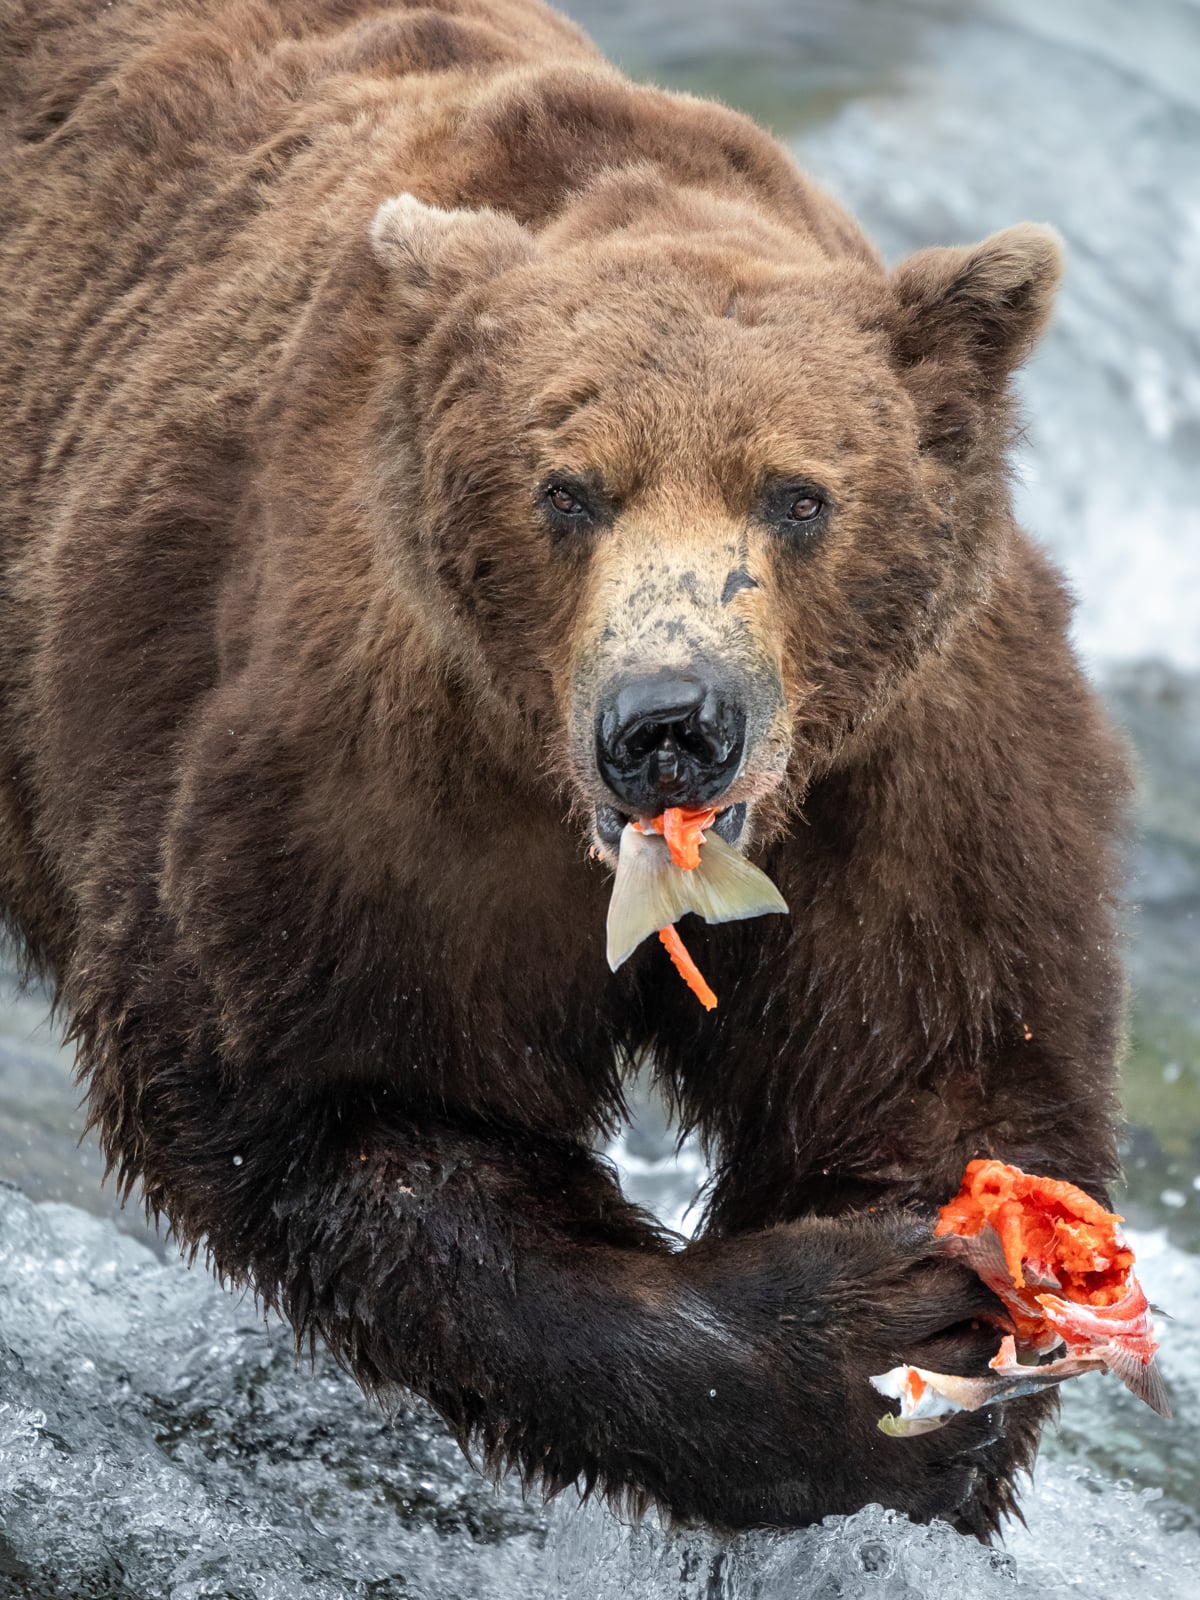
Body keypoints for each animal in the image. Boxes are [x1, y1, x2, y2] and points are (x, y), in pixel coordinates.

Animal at [0, 0, 1130, 1539]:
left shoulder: (914, 774)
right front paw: (851, 1344)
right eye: (567, 489)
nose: (669, 721)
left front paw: (961, 1327)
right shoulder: (367, 773)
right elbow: (353, 1101)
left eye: (800, 495)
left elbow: (945, 1062)